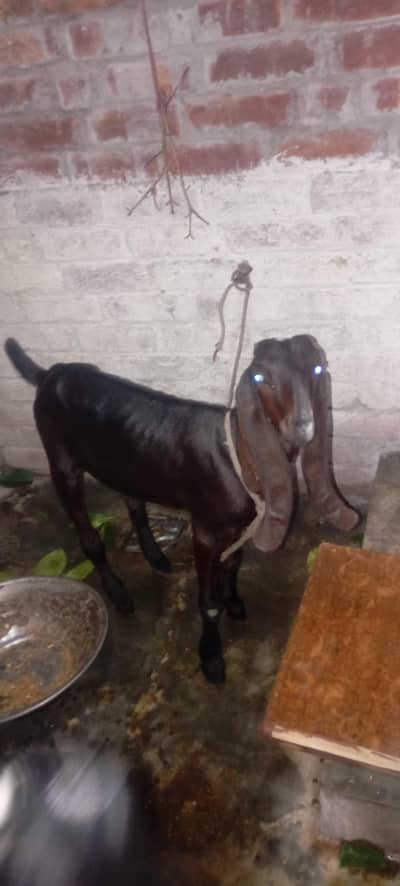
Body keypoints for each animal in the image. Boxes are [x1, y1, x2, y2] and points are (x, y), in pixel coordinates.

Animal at [4, 335, 358, 683]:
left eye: (317, 368)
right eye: (260, 378)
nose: (302, 427)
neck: (234, 454)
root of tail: (50, 374)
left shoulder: (240, 525)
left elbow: (233, 564)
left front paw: (234, 603)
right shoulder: (203, 529)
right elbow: (208, 602)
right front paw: (211, 658)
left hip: (127, 466)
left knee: (135, 503)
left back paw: (156, 557)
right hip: (61, 459)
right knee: (89, 535)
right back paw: (119, 595)